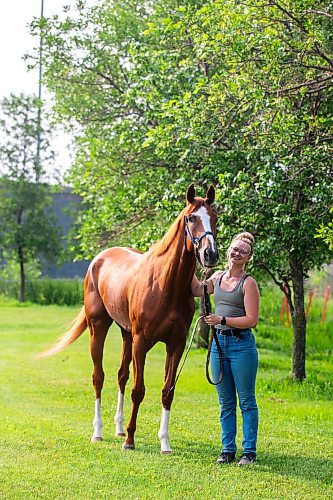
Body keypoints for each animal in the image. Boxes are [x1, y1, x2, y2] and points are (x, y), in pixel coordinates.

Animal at [39, 185, 218, 454]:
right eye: (191, 218)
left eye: (215, 217)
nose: (210, 254)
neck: (166, 285)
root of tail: (99, 259)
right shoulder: (141, 342)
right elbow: (138, 390)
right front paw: (130, 441)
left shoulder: (174, 344)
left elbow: (167, 391)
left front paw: (164, 443)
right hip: (99, 328)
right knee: (99, 377)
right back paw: (99, 432)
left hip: (126, 335)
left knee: (121, 375)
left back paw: (119, 428)